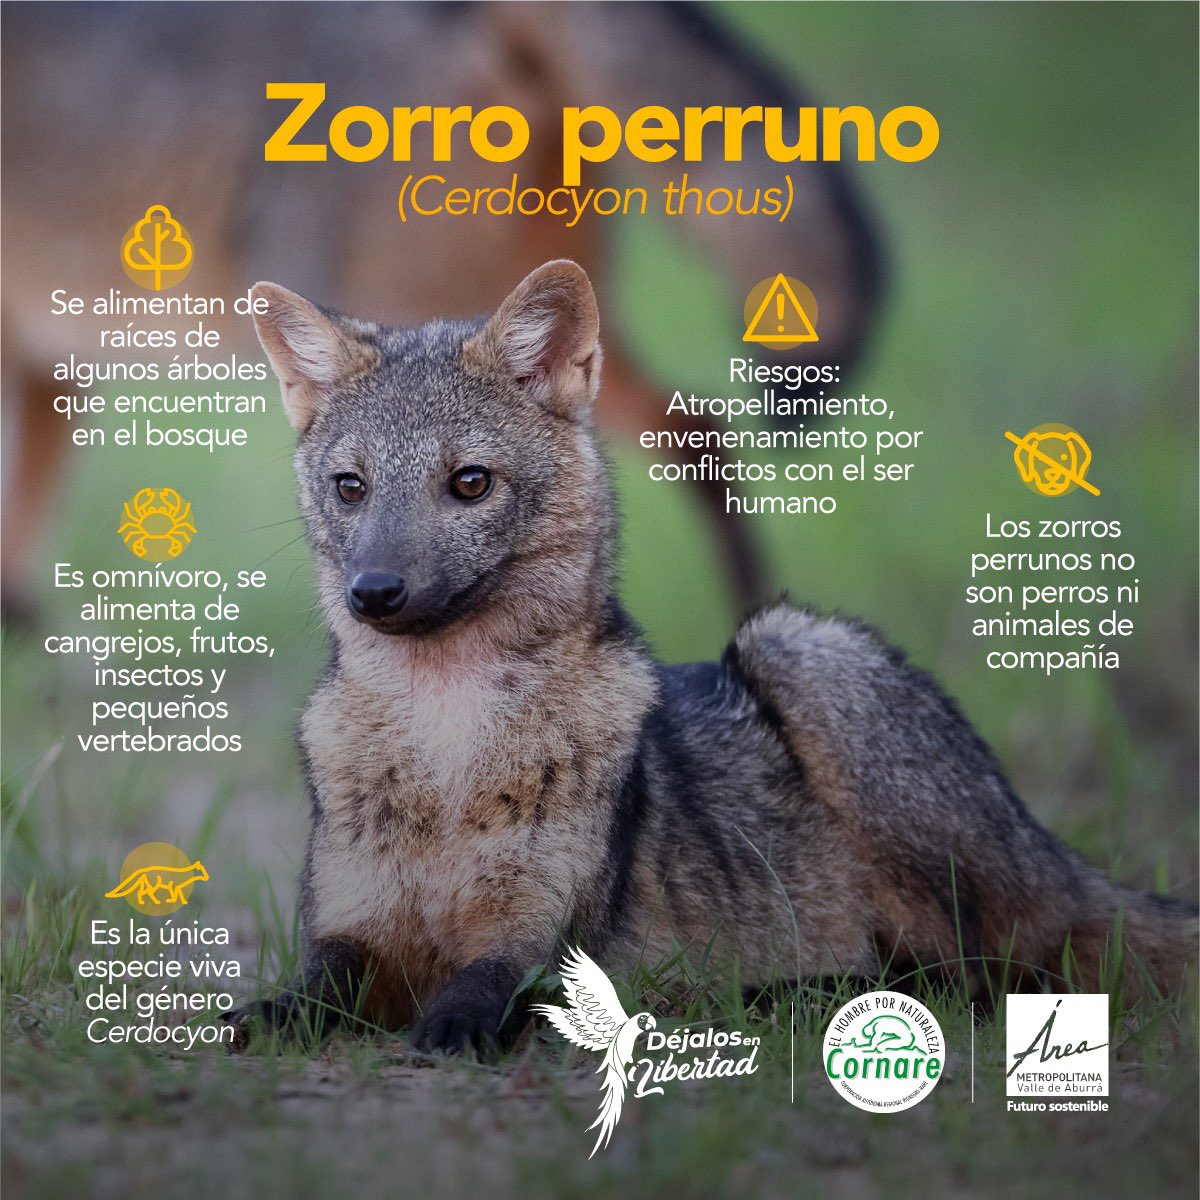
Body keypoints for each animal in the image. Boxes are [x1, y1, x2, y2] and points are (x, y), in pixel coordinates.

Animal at [226, 259, 1196, 1054]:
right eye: (351, 488)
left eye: (469, 482)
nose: (375, 591)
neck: (448, 749)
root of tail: (1055, 855)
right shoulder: (355, 931)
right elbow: (309, 991)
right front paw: (258, 1017)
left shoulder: (540, 935)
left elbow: (485, 983)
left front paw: (457, 1024)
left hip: (796, 648)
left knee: (975, 985)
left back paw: (789, 992)